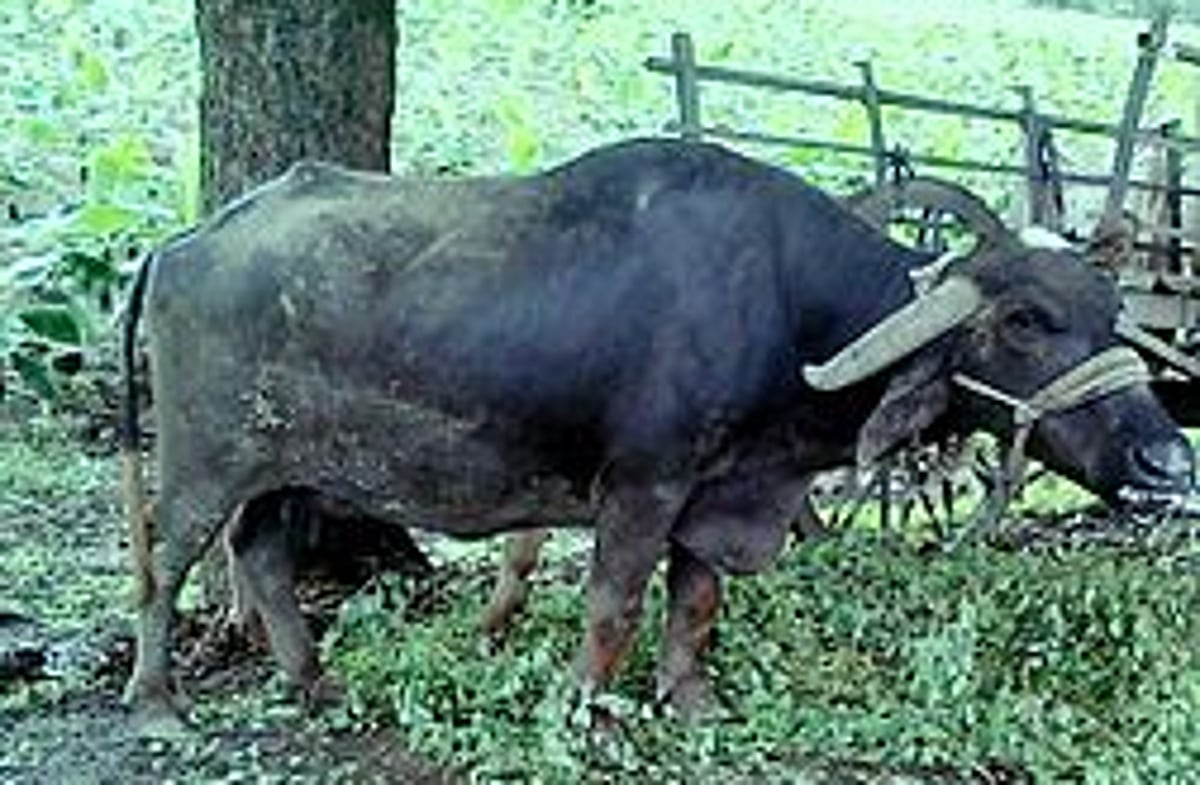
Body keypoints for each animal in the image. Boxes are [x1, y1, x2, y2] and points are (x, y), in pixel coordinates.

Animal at [121, 138, 1194, 721]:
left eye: (1111, 314)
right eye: (1026, 321)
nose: (1168, 457)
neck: (783, 309)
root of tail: (183, 242)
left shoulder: (721, 495)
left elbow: (697, 604)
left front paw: (690, 697)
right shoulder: (641, 487)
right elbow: (614, 606)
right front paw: (588, 707)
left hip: (288, 470)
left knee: (261, 555)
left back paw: (315, 683)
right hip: (205, 461)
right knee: (165, 561)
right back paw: (160, 698)